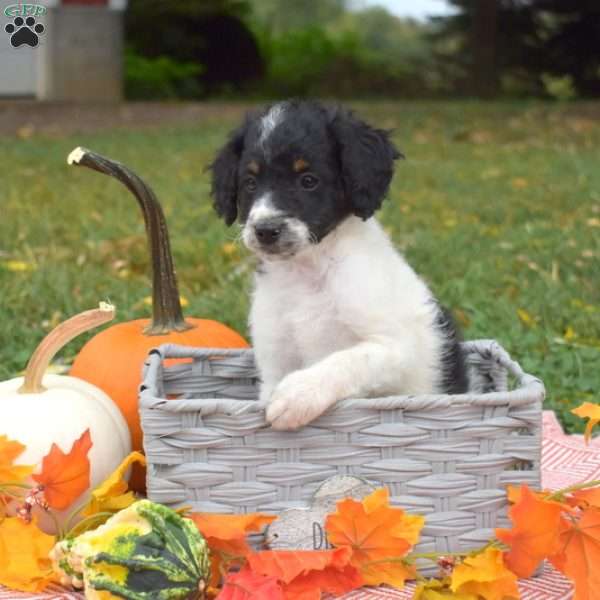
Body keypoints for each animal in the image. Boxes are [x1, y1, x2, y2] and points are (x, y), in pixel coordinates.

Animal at [211, 101, 468, 428]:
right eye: (250, 182)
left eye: (308, 180)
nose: (266, 230)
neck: (308, 271)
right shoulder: (274, 362)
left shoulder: (395, 346)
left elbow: (347, 359)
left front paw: (297, 394)